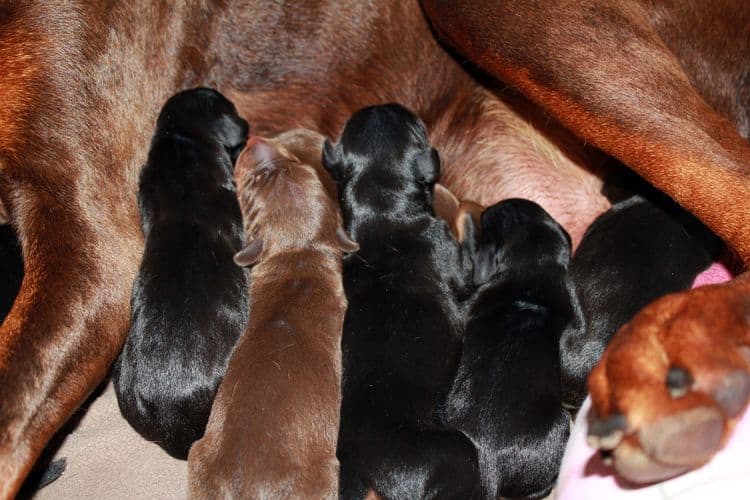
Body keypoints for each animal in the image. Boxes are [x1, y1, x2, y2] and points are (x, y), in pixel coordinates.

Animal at [328, 103, 482, 498]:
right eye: (417, 126)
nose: (383, 104)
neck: (382, 212)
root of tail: (355, 461)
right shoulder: (460, 264)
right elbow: (468, 236)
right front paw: (470, 206)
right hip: (454, 453)